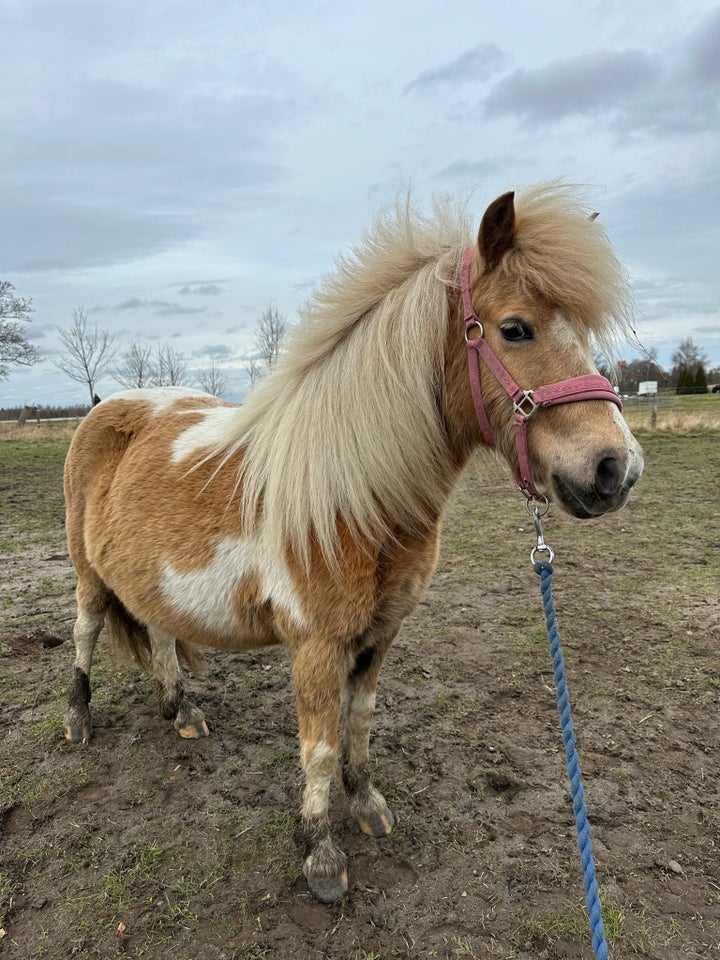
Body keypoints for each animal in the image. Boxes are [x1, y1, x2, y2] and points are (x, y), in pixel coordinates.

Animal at [64, 186, 644, 900]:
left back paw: (183, 712)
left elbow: (360, 723)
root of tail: (107, 406)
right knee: (86, 631)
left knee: (161, 632)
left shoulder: (380, 634)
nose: (616, 469)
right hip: (87, 572)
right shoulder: (315, 646)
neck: (351, 498)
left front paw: (367, 805)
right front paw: (320, 855)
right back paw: (79, 719)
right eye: (515, 328)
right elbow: (318, 748)